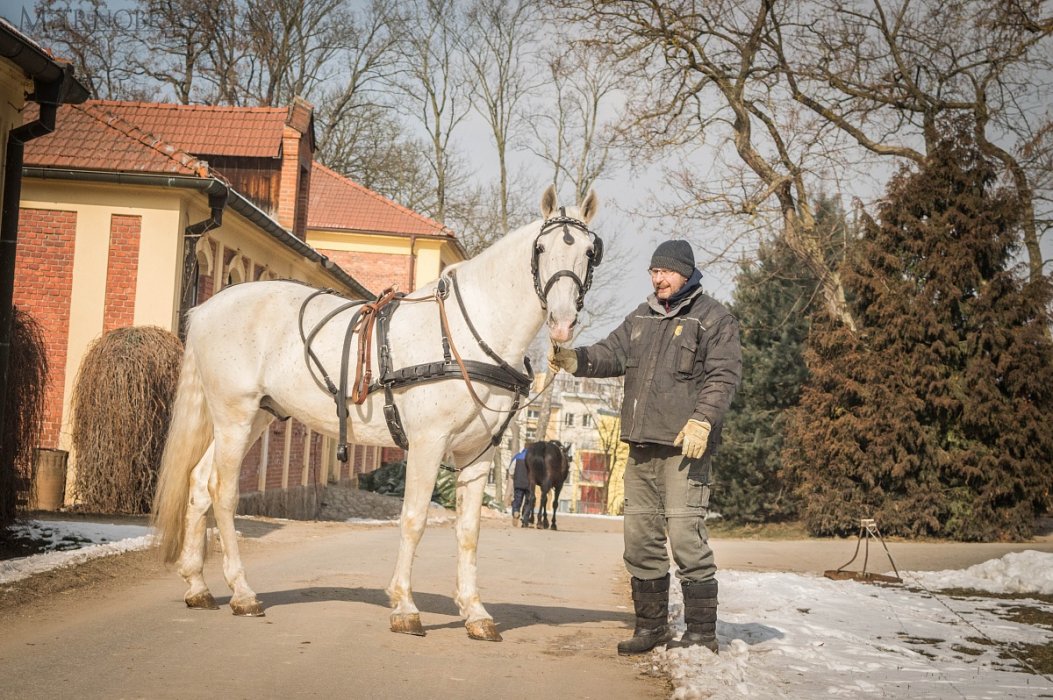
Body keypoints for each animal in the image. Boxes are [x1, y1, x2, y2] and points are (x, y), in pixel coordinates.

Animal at [153, 184, 606, 640]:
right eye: (541, 248)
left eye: (589, 251)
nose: (563, 321)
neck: (468, 333)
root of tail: (205, 309)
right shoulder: (428, 443)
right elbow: (413, 520)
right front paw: (405, 606)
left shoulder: (477, 454)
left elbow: (469, 532)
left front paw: (475, 612)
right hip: (235, 416)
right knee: (222, 492)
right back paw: (242, 592)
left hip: (256, 417)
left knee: (199, 482)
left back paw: (198, 585)